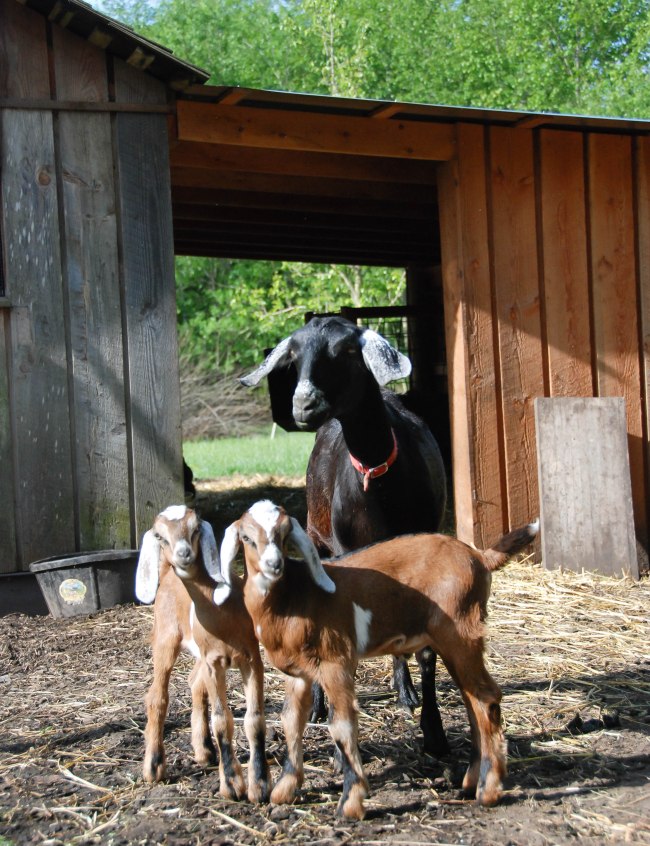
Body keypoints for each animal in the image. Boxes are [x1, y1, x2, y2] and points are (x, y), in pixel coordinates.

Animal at [135, 505, 270, 803]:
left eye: (195, 528)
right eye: (159, 536)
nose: (183, 553)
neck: (224, 611)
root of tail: (166, 574)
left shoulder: (251, 658)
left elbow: (254, 719)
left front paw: (259, 785)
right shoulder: (213, 662)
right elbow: (221, 720)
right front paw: (231, 784)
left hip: (200, 652)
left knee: (194, 683)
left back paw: (204, 749)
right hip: (166, 637)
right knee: (157, 695)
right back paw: (154, 766)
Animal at [220, 500, 538, 819]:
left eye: (284, 534)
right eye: (246, 537)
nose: (275, 565)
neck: (294, 596)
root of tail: (479, 556)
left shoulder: (336, 662)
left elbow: (342, 725)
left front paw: (350, 802)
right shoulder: (298, 674)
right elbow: (291, 721)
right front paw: (284, 790)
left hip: (460, 632)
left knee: (486, 698)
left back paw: (488, 790)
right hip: (454, 640)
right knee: (473, 702)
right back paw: (472, 782)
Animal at [241, 315, 449, 754]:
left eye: (348, 351)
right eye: (293, 358)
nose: (303, 405)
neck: (380, 481)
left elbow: (424, 646)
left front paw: (434, 731)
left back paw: (404, 691)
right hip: (322, 544)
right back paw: (320, 706)